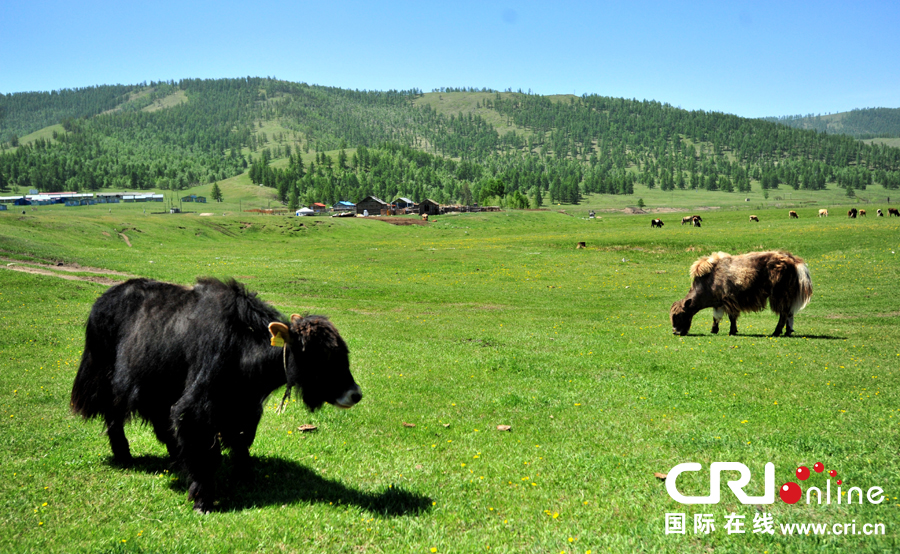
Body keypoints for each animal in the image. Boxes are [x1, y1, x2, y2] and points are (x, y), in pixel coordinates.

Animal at [72, 278, 362, 512]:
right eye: (321, 356)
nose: (355, 395)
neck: (244, 347)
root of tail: (100, 301)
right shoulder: (199, 407)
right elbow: (202, 445)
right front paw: (203, 500)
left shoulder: (243, 406)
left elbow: (240, 440)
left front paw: (245, 475)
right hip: (105, 377)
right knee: (114, 414)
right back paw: (124, 456)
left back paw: (174, 457)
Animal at [668, 250, 816, 336]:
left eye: (680, 315)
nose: (675, 332)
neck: (708, 282)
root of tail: (793, 259)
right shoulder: (718, 303)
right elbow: (716, 317)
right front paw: (714, 330)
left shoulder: (729, 300)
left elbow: (731, 317)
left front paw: (732, 331)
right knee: (789, 313)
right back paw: (787, 332)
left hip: (780, 295)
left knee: (784, 313)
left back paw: (776, 332)